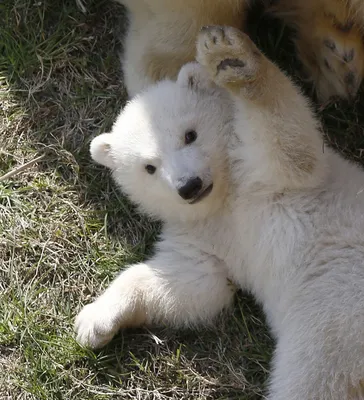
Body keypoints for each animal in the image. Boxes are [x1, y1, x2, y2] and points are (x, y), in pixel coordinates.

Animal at [77, 26, 364, 398]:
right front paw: (94, 321)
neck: (226, 196)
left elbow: (292, 153)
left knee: (312, 380)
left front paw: (233, 60)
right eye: (150, 167)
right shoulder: (206, 233)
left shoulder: (259, 174)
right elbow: (195, 281)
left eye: (190, 134)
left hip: (335, 309)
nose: (189, 185)